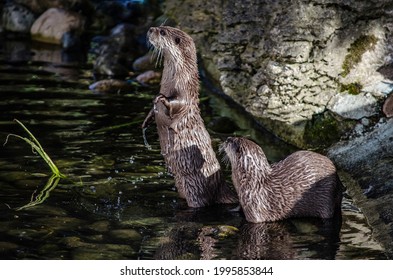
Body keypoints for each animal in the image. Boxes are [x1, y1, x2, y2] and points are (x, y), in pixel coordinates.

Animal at [142, 26, 237, 207]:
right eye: (159, 28)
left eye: (162, 32)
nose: (150, 29)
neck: (173, 80)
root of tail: (221, 185)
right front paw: (147, 119)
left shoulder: (186, 95)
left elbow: (177, 104)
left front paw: (162, 99)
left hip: (196, 188)